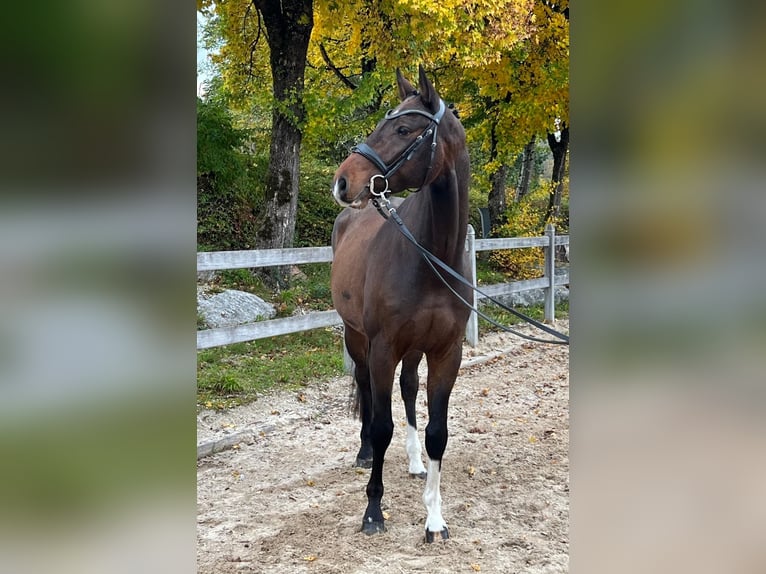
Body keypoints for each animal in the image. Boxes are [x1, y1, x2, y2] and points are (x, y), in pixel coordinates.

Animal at [330, 65, 471, 542]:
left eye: (404, 129)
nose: (343, 181)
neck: (432, 254)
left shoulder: (446, 352)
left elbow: (437, 433)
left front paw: (434, 519)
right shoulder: (383, 348)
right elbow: (381, 424)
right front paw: (373, 511)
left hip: (413, 349)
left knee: (409, 388)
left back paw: (413, 463)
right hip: (358, 339)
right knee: (368, 391)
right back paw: (362, 454)